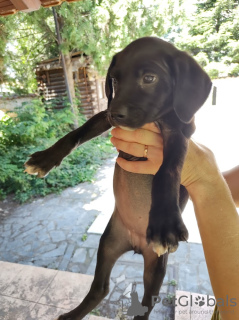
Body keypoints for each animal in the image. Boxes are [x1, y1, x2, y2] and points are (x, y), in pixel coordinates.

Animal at [24, 36, 211, 318]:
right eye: (114, 79)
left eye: (149, 78)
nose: (115, 113)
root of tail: (135, 244)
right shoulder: (105, 118)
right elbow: (76, 133)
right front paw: (45, 159)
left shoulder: (179, 132)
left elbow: (167, 169)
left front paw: (165, 223)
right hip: (108, 243)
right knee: (100, 289)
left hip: (157, 266)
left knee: (145, 306)